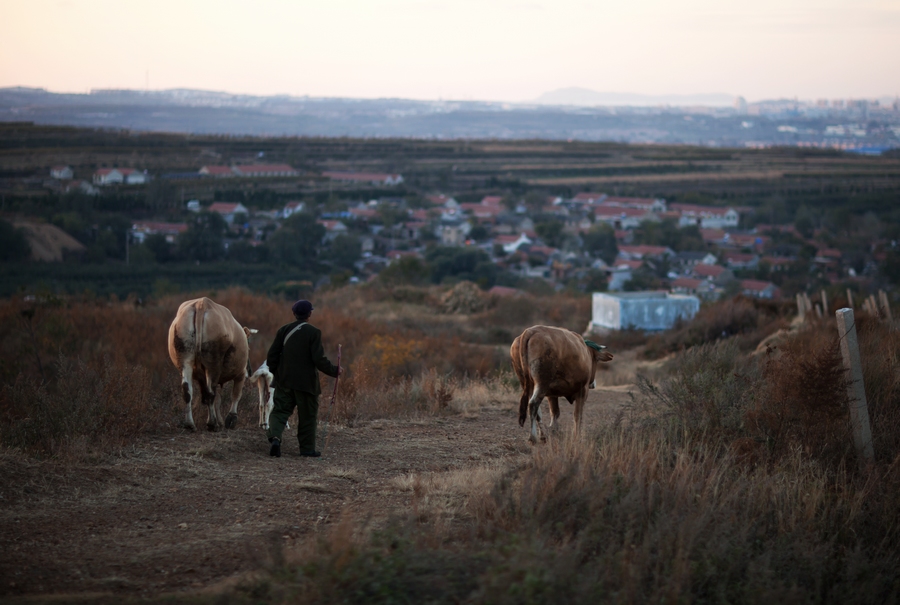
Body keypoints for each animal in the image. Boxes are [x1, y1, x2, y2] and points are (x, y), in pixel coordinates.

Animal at [169, 296, 255, 430]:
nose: (250, 370)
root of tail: (201, 304)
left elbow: (216, 399)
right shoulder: (241, 374)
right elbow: (236, 394)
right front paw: (231, 418)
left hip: (185, 357)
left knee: (187, 390)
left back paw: (190, 424)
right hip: (213, 363)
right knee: (210, 393)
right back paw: (212, 423)